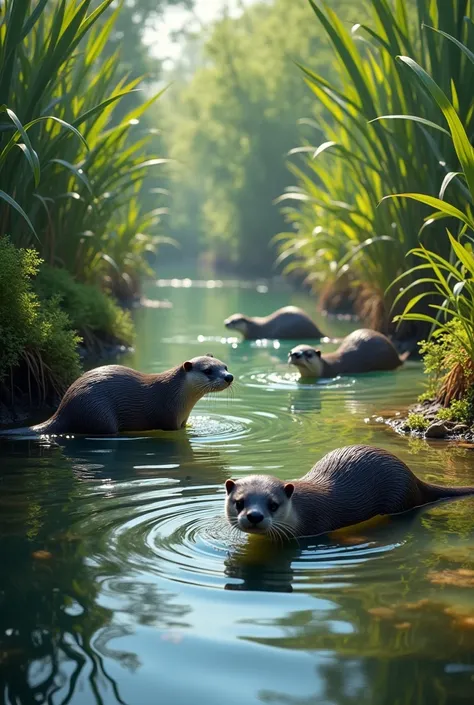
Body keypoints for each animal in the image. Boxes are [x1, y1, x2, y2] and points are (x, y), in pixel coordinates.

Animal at [3, 354, 233, 438]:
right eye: (208, 371)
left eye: (225, 366)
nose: (229, 377)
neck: (176, 395)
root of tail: (63, 409)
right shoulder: (169, 418)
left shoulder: (182, 420)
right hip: (97, 411)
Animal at [225, 446, 474, 540]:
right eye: (239, 502)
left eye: (273, 505)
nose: (254, 516)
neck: (300, 511)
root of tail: (413, 477)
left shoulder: (317, 527)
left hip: (399, 496)